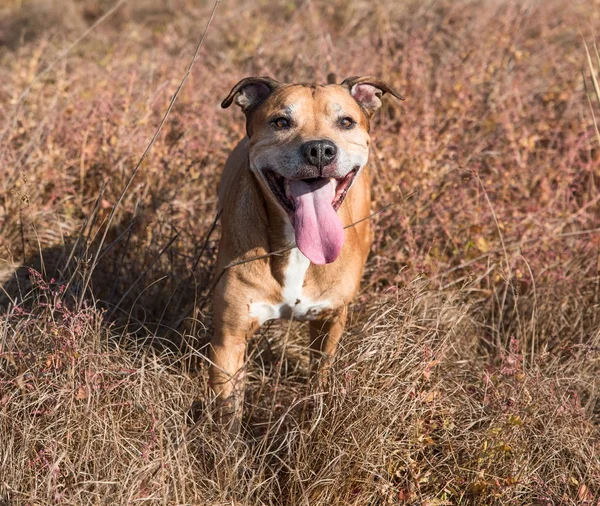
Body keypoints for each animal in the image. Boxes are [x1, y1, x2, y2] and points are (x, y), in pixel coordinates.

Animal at [209, 73, 400, 424]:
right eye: (281, 122)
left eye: (345, 122)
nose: (320, 150)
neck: (297, 247)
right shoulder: (229, 339)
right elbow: (227, 411)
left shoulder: (329, 323)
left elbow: (319, 381)